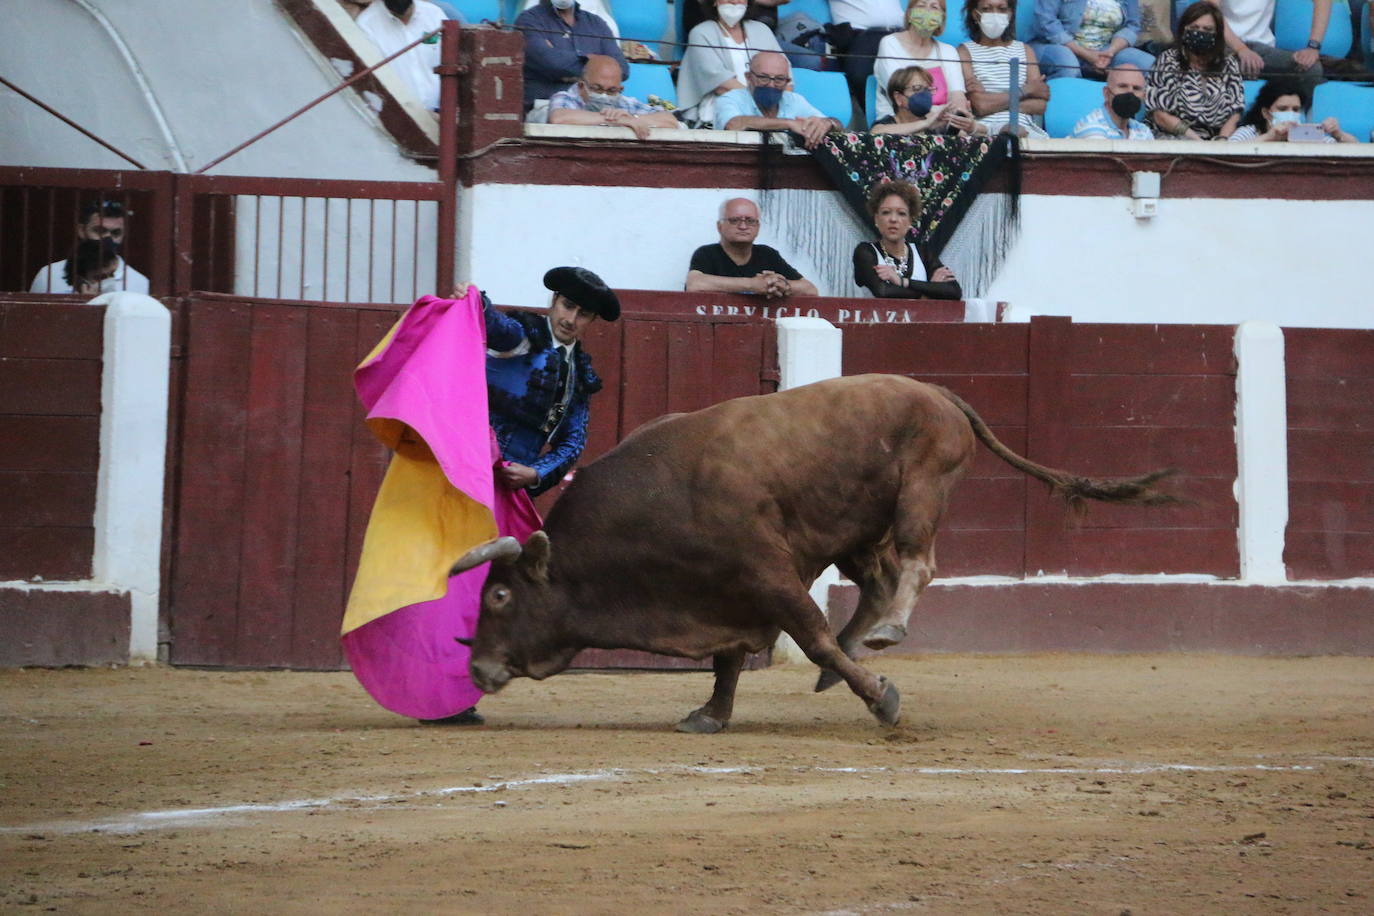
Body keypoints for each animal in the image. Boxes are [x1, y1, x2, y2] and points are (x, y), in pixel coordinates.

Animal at [447, 373, 1170, 730]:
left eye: (501, 594)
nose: (477, 669)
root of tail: (937, 391)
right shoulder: (731, 591)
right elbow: (729, 661)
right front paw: (711, 716)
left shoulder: (766, 575)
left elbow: (811, 637)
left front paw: (881, 699)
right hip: (854, 529)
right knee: (878, 580)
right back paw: (863, 643)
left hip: (921, 492)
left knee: (916, 567)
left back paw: (886, 637)